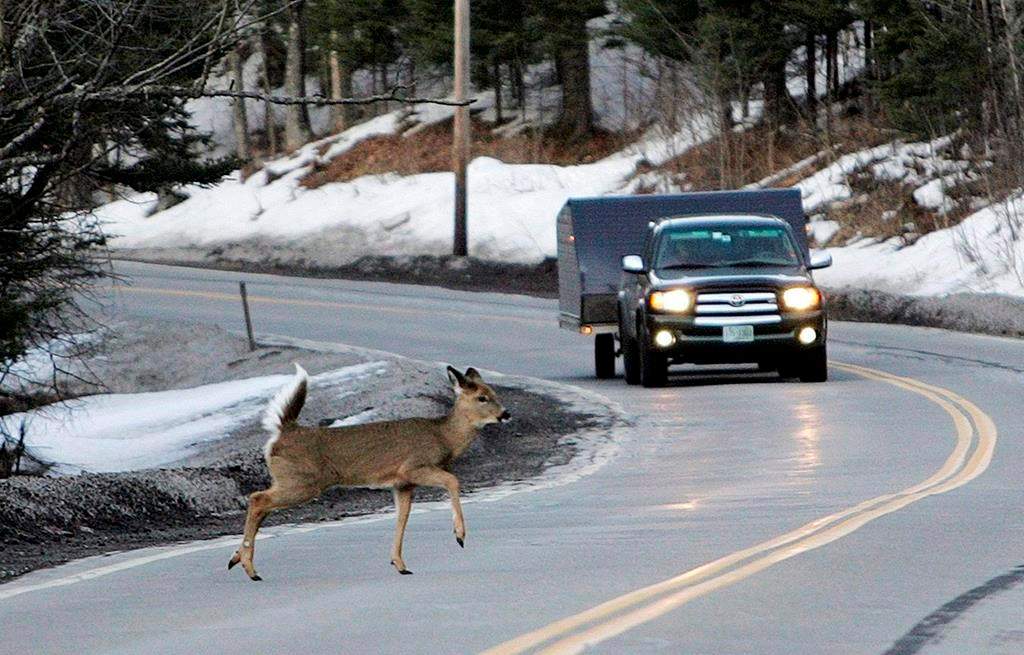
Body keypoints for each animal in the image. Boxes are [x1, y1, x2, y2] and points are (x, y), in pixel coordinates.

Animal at [228, 363, 510, 581]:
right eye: (482, 397)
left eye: (495, 393)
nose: (506, 413)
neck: (444, 438)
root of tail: (283, 432)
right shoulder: (414, 466)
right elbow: (453, 480)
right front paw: (459, 535)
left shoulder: (402, 484)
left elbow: (402, 517)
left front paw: (399, 564)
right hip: (303, 481)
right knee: (257, 499)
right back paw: (250, 568)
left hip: (290, 480)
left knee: (262, 505)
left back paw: (237, 559)